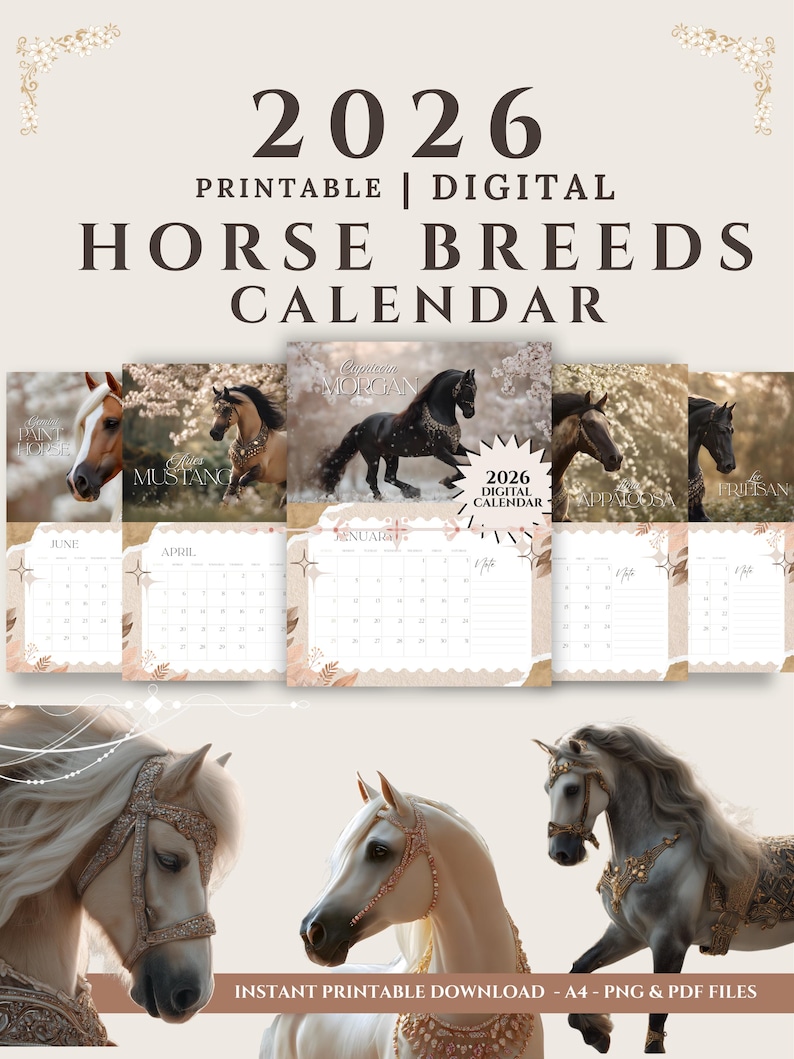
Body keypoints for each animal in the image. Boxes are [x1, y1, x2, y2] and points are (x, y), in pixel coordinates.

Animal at [318, 368, 477, 500]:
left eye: (475, 389)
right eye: (468, 389)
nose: (470, 414)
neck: (437, 415)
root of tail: (360, 425)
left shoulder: (454, 448)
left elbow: (470, 459)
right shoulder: (439, 451)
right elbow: (460, 467)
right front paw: (448, 482)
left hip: (390, 456)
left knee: (389, 477)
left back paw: (411, 491)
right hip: (372, 457)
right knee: (372, 479)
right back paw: (384, 497)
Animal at [535, 724, 794, 1054]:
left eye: (571, 789)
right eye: (547, 788)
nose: (561, 853)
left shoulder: (670, 943)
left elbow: (656, 1024)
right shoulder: (627, 934)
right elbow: (579, 967)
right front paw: (597, 1034)